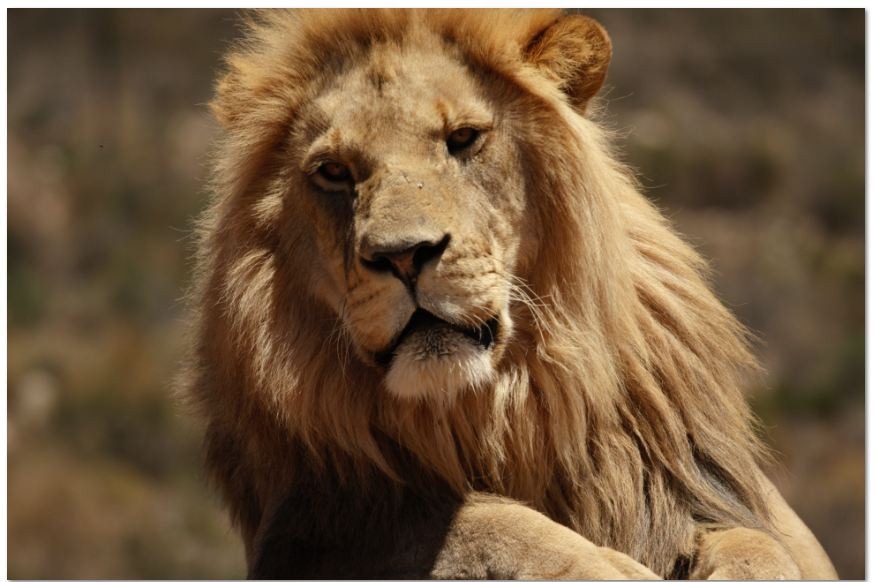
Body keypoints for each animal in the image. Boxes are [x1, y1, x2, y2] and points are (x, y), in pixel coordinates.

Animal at [182, 8, 838, 579]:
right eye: (334, 172)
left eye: (463, 138)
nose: (403, 255)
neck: (502, 411)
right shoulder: (313, 529)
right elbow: (481, 522)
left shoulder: (700, 495)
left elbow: (757, 545)